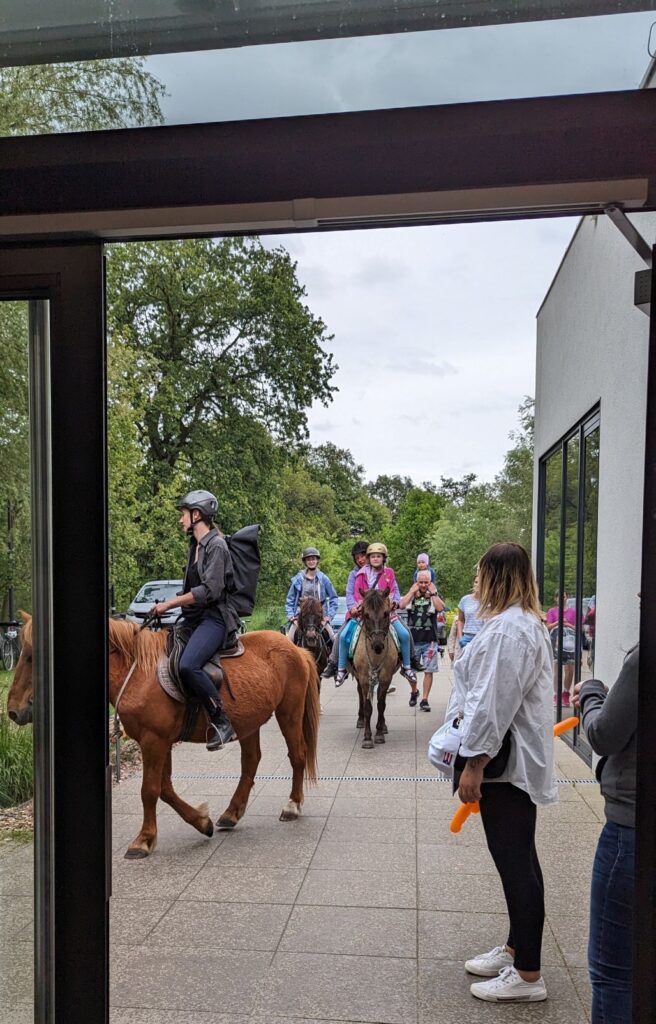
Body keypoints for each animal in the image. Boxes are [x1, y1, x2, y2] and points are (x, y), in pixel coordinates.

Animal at [6, 614, 319, 856]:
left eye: (33, 657)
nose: (13, 711)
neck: (137, 673)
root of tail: (296, 650)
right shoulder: (160, 742)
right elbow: (165, 788)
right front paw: (201, 822)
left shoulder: (154, 741)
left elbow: (150, 790)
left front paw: (143, 840)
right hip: (248, 723)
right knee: (251, 762)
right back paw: (232, 813)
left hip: (288, 713)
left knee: (297, 755)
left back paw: (292, 806)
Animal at [350, 589, 397, 749]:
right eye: (366, 614)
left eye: (386, 613)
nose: (378, 645)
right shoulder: (364, 678)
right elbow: (368, 707)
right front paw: (367, 737)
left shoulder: (385, 678)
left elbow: (381, 705)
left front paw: (379, 733)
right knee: (360, 694)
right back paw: (361, 720)